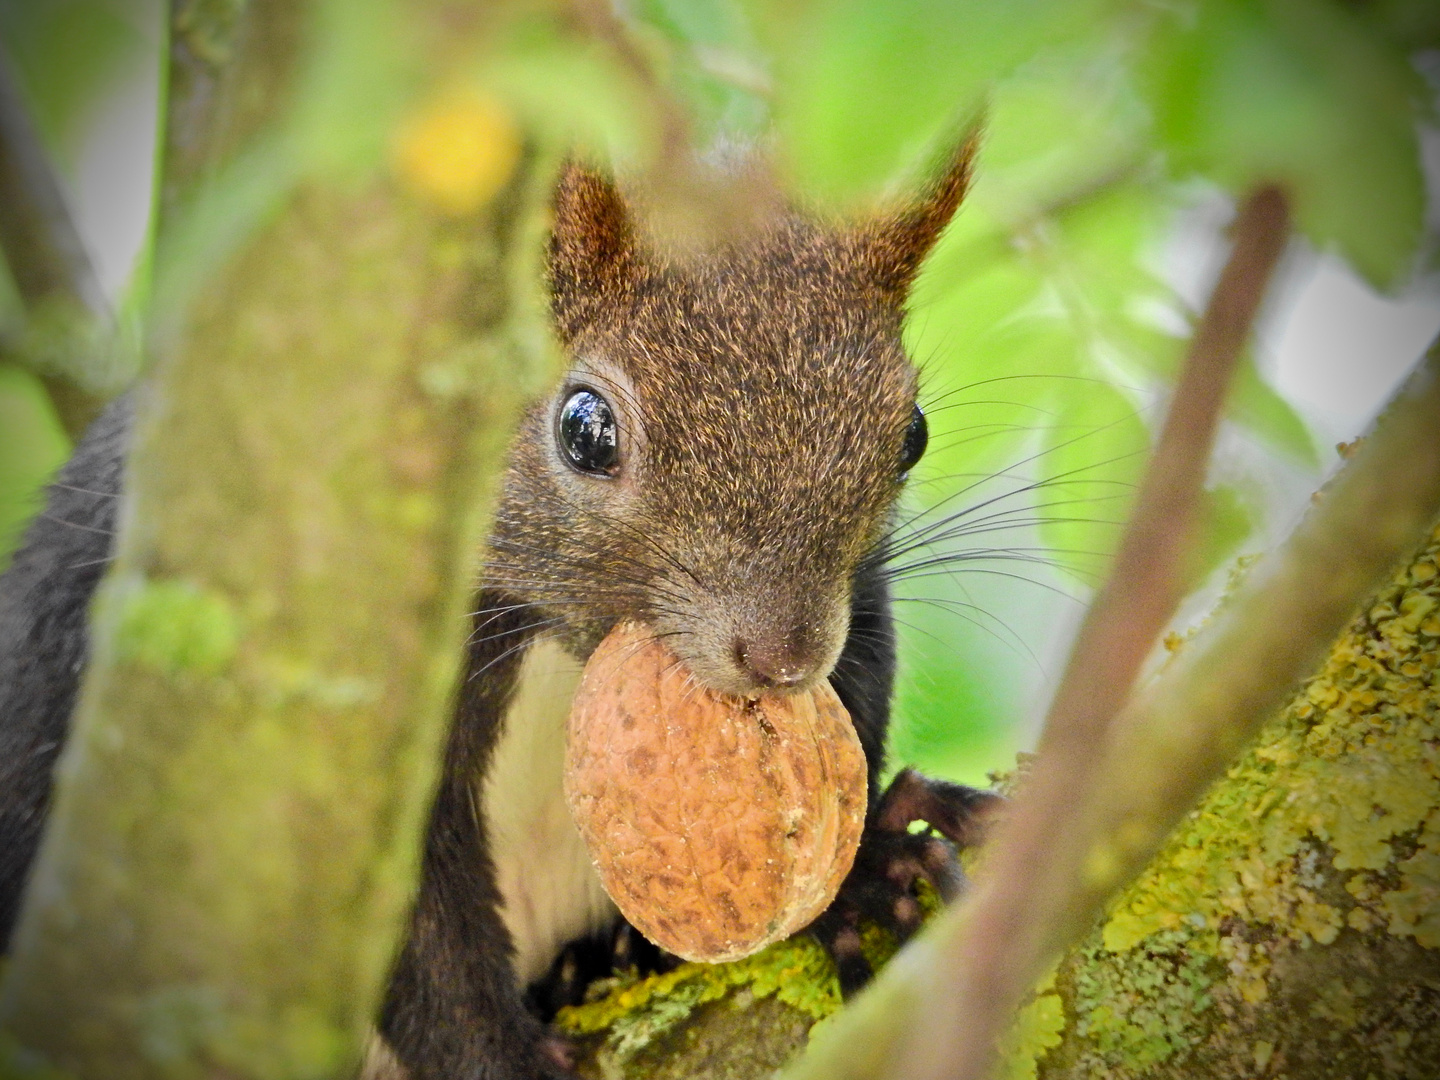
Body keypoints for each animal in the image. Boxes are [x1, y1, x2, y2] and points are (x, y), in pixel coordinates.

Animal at [0, 137, 1002, 1080]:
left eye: (912, 435)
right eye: (585, 429)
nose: (784, 657)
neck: (555, 645)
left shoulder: (860, 602)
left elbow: (858, 700)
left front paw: (867, 874)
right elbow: (415, 942)